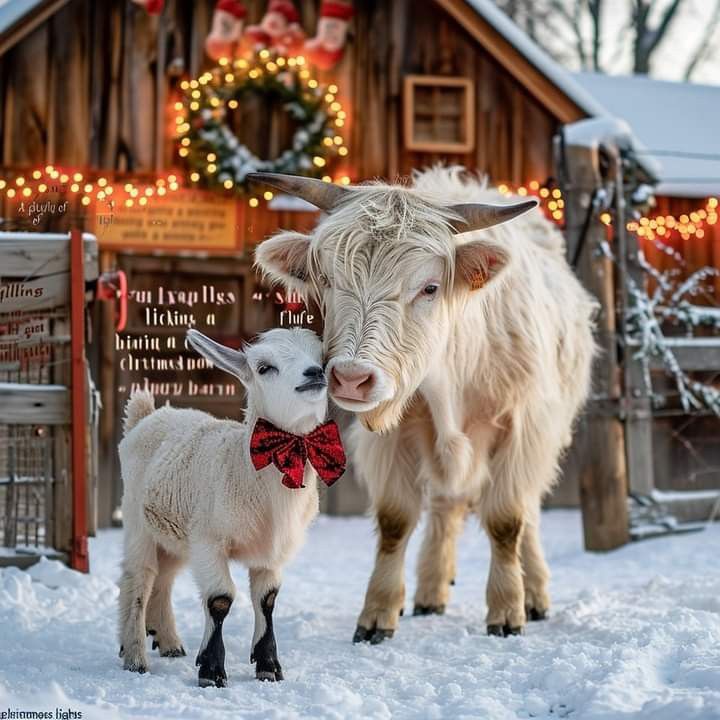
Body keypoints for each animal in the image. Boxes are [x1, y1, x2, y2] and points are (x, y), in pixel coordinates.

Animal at [116, 326, 344, 688]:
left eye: (320, 358)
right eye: (264, 367)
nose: (314, 374)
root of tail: (146, 415)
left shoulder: (271, 551)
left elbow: (267, 599)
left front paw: (269, 666)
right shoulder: (209, 541)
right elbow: (220, 598)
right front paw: (211, 671)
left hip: (175, 533)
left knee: (164, 578)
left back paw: (168, 640)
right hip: (138, 522)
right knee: (138, 577)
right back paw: (135, 655)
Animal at [252, 167, 596, 640]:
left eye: (430, 287)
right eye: (328, 280)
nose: (352, 378)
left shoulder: (524, 428)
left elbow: (507, 520)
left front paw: (507, 609)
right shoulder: (391, 435)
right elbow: (395, 521)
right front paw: (378, 613)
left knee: (526, 510)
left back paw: (535, 594)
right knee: (444, 505)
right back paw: (431, 591)